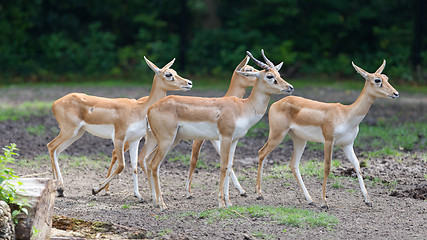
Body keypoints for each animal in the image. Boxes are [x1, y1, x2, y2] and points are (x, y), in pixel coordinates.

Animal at [47, 56, 193, 199]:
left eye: (175, 71)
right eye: (168, 74)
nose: (189, 83)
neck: (139, 109)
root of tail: (55, 103)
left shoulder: (135, 140)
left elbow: (134, 166)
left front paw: (138, 195)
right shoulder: (118, 138)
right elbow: (122, 166)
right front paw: (95, 189)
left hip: (77, 134)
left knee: (56, 151)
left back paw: (60, 189)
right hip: (68, 131)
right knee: (51, 146)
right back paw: (59, 188)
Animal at [147, 50, 294, 210]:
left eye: (278, 74)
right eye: (270, 76)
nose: (290, 87)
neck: (243, 107)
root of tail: (150, 108)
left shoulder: (235, 140)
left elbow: (229, 166)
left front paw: (229, 201)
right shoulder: (225, 137)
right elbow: (223, 166)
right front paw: (221, 202)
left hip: (172, 140)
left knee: (148, 160)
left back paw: (155, 201)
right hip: (166, 140)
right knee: (154, 164)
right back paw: (162, 204)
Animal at [258, 59, 402, 208]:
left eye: (386, 77)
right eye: (377, 80)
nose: (396, 93)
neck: (346, 114)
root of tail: (275, 104)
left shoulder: (347, 144)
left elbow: (357, 165)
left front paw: (368, 200)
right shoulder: (328, 141)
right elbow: (327, 167)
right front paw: (324, 202)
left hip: (300, 140)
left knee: (293, 164)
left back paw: (310, 200)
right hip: (277, 135)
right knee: (261, 153)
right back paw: (259, 194)